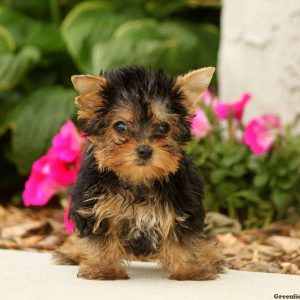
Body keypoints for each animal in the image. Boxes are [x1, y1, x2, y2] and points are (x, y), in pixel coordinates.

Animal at [54, 66, 224, 282]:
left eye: (163, 127)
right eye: (120, 126)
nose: (145, 150)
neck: (139, 179)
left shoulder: (181, 207)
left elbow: (183, 239)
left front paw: (190, 270)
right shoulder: (97, 208)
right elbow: (101, 240)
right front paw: (104, 269)